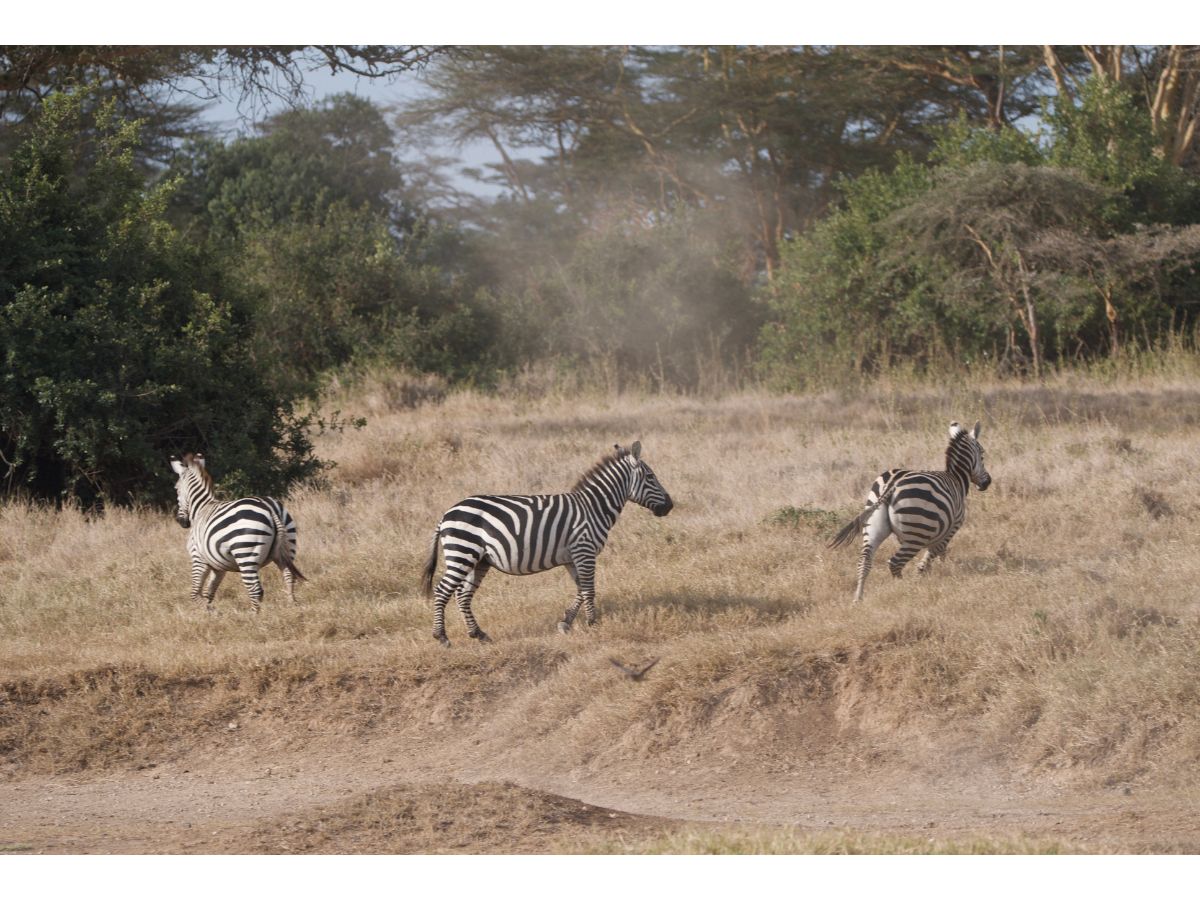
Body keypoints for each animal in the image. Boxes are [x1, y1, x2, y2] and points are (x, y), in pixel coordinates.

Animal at [170, 453, 304, 612]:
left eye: (176, 488)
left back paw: (253, 616)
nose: (181, 521)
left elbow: (195, 594)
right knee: (289, 576)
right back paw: (292, 607)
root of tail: (270, 507)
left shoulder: (198, 557)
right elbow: (209, 591)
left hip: (246, 552)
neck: (201, 508)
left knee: (255, 589)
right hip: (287, 546)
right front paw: (209, 611)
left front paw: (209, 612)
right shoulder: (217, 566)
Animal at [421, 441, 673, 646]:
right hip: (462, 553)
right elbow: (589, 589)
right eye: (651, 477)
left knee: (463, 595)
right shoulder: (584, 550)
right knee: (443, 590)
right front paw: (593, 624)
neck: (593, 508)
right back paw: (441, 637)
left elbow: (581, 589)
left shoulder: (573, 557)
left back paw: (479, 634)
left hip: (479, 559)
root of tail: (446, 514)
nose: (670, 506)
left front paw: (566, 622)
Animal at [827, 421, 991, 602]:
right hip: (917, 533)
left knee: (865, 560)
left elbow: (937, 552)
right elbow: (935, 552)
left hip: (873, 525)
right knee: (895, 562)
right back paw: (906, 588)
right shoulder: (953, 525)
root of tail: (891, 484)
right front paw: (925, 573)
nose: (987, 483)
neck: (956, 478)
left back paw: (858, 597)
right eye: (982, 455)